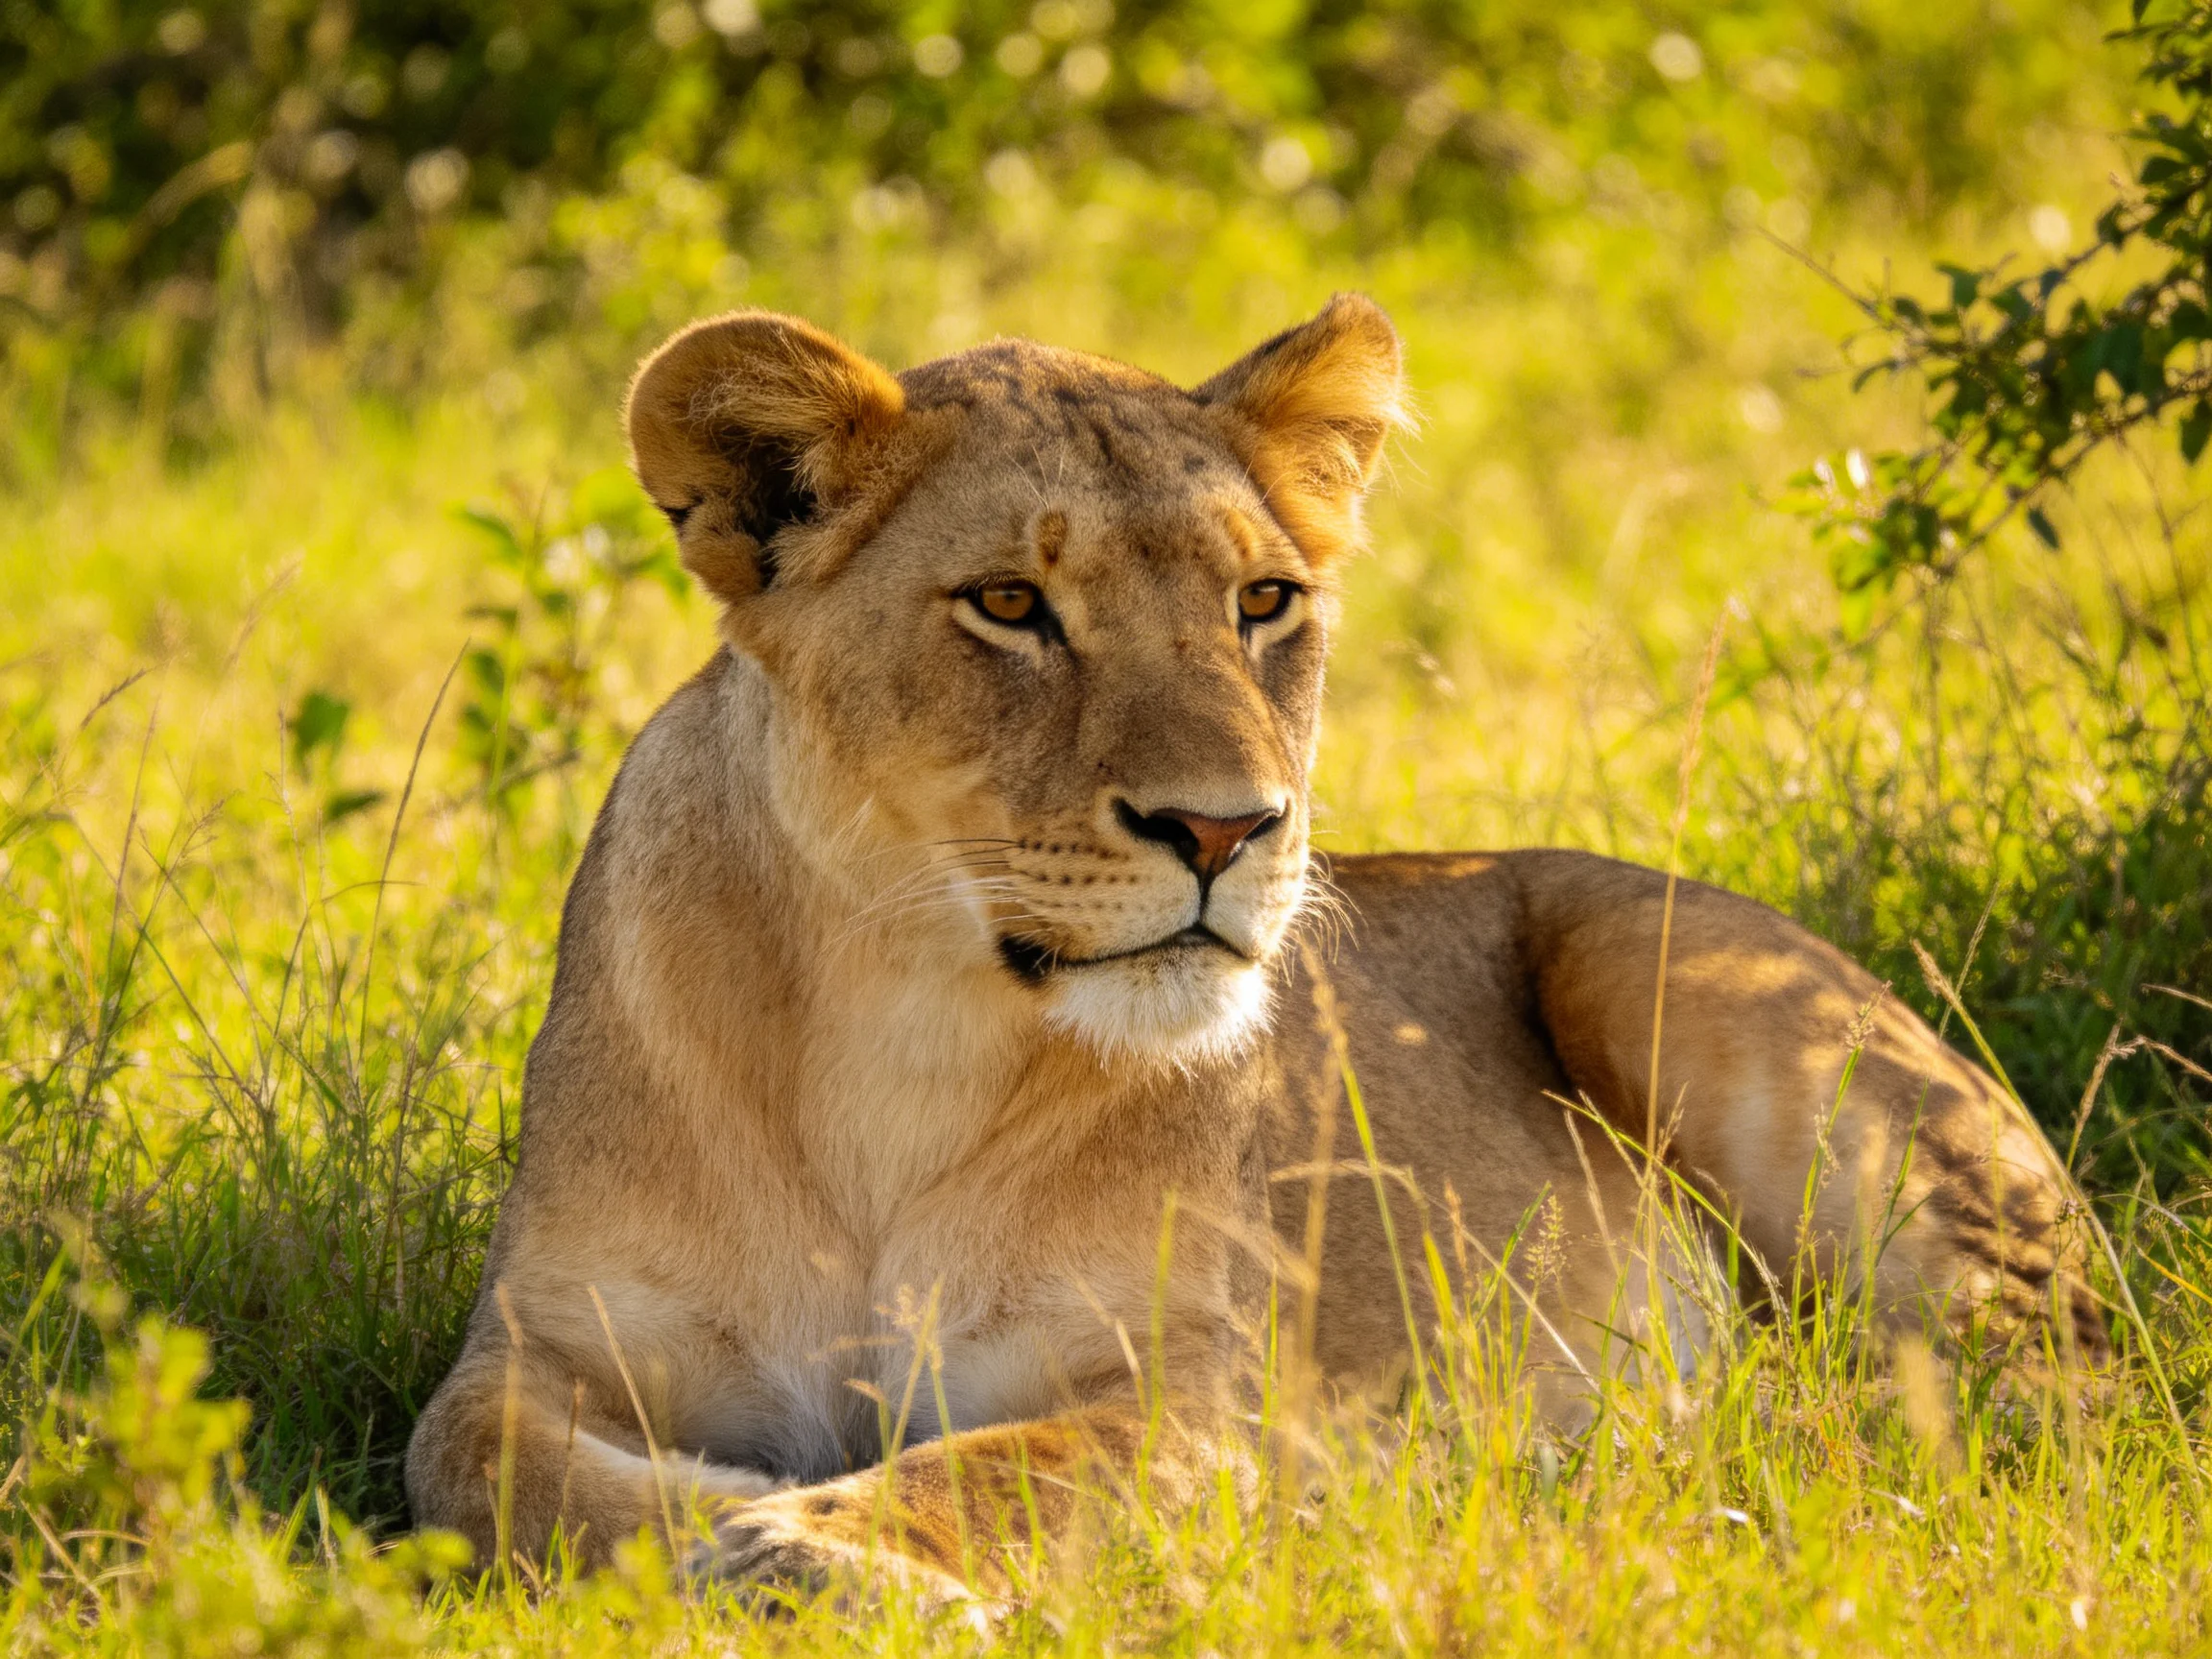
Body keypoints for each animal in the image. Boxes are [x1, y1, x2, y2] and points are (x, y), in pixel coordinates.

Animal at [405, 297, 2106, 1601]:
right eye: (1010, 603)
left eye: (1265, 599)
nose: (1228, 830)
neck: (899, 1035)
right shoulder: (539, 1342)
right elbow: (477, 1469)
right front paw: (733, 1533)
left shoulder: (1203, 1397)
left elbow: (1004, 1467)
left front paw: (823, 1553)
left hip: (1680, 980)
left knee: (2008, 1396)